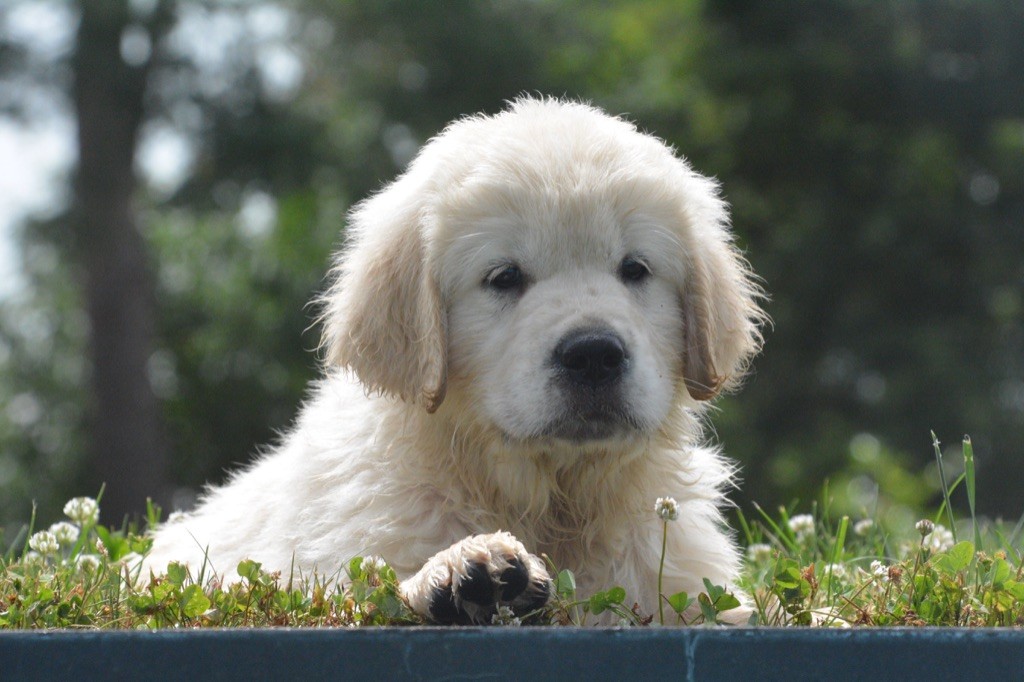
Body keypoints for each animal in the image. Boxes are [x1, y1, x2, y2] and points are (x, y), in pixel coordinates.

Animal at [144, 97, 765, 625]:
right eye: (503, 277)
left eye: (635, 269)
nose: (594, 354)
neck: (551, 499)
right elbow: (365, 588)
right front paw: (463, 572)